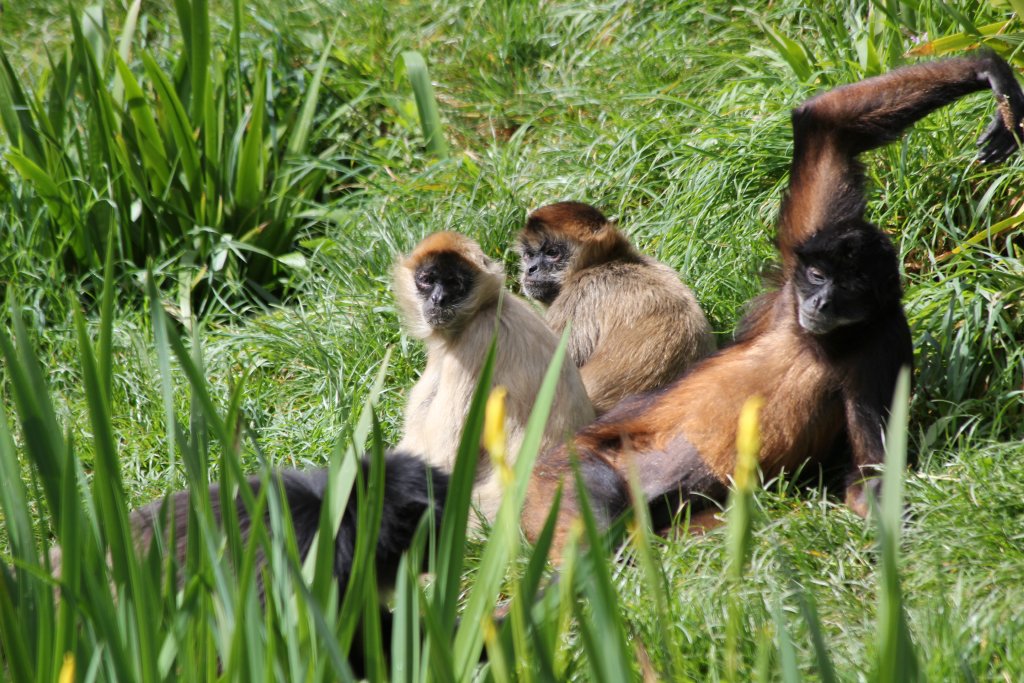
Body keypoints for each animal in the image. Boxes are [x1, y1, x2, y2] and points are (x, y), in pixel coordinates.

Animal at [394, 231, 595, 522]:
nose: (439, 299)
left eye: (454, 283)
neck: (488, 307)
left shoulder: (478, 339)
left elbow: (445, 463)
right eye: (427, 280)